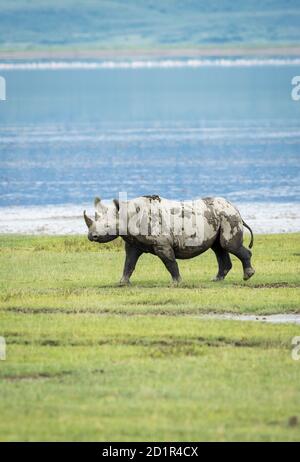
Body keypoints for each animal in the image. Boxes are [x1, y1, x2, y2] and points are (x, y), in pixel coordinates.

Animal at [83, 194, 254, 284]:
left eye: (107, 226)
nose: (91, 236)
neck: (128, 214)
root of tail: (235, 208)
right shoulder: (134, 243)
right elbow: (129, 263)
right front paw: (122, 283)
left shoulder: (162, 244)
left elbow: (170, 262)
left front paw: (177, 282)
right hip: (218, 216)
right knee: (219, 248)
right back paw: (216, 279)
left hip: (228, 217)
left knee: (228, 246)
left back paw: (247, 276)